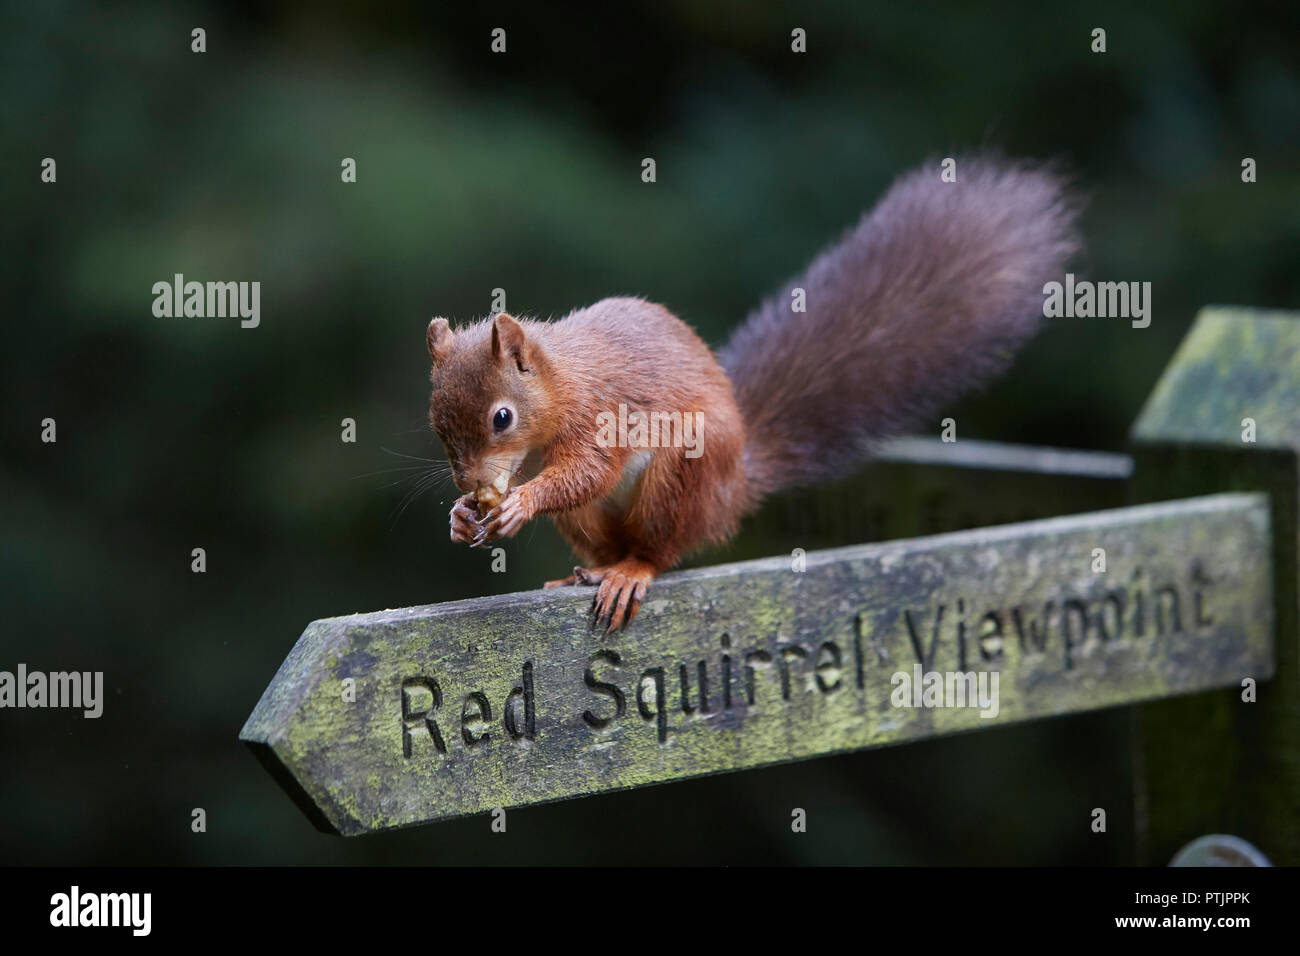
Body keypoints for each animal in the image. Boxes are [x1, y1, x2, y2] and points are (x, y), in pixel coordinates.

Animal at [423, 158, 1076, 629]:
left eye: (502, 418)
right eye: (437, 426)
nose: (471, 485)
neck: (562, 379)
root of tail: (736, 484)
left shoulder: (601, 413)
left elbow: (587, 470)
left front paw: (520, 502)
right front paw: (460, 517)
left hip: (686, 470)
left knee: (658, 550)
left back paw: (630, 570)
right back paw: (588, 570)